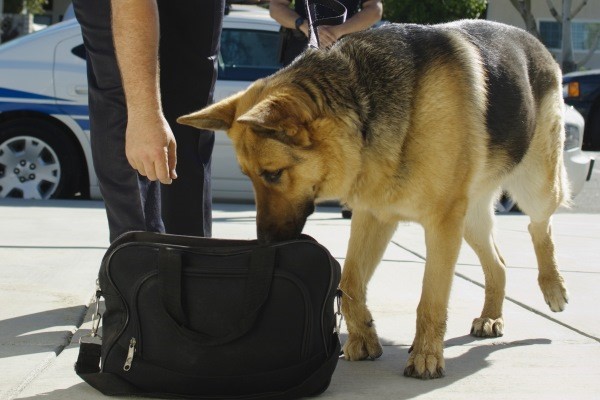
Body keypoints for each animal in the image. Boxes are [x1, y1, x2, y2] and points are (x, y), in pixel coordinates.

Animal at [177, 20, 568, 380]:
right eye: (248, 176)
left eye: (272, 174)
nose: (265, 243)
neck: (365, 105)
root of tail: (536, 41)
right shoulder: (375, 215)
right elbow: (350, 281)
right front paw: (363, 336)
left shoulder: (441, 225)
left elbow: (431, 299)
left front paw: (426, 356)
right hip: (470, 219)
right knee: (498, 263)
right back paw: (491, 316)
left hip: (533, 187)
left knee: (541, 226)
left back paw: (553, 286)